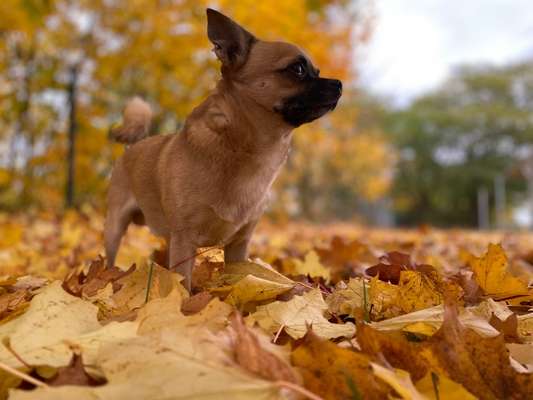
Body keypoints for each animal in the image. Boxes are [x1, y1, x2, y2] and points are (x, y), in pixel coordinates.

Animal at [106, 8, 342, 290]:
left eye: (316, 70)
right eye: (297, 69)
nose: (338, 83)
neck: (245, 149)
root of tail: (133, 146)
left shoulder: (239, 245)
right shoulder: (184, 239)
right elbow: (183, 284)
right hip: (116, 227)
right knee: (109, 258)